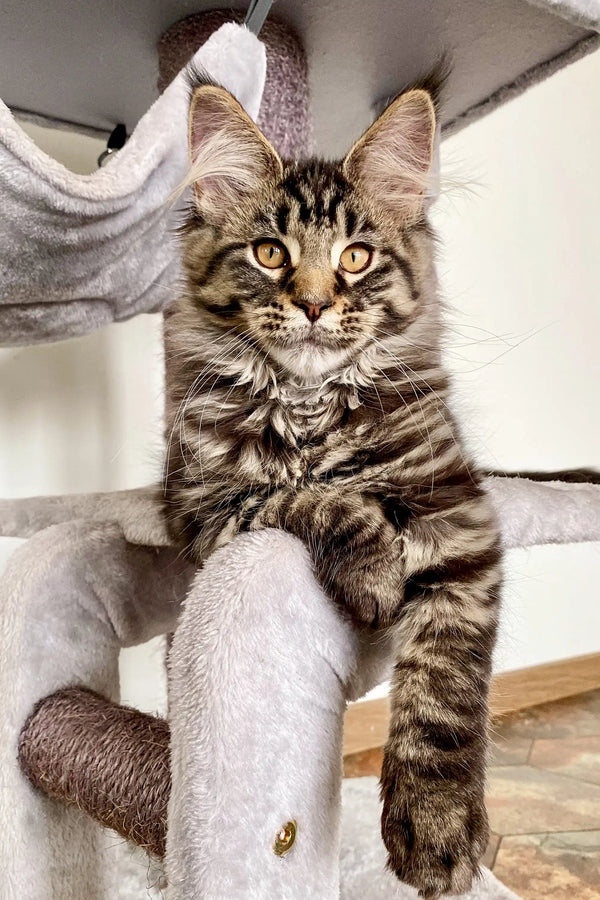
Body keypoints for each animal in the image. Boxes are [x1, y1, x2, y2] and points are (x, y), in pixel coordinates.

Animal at [164, 72, 502, 900]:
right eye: (269, 252)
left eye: (355, 257)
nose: (315, 303)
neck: (310, 402)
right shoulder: (203, 506)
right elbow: (308, 498)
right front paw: (375, 574)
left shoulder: (457, 515)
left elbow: (443, 688)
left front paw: (438, 827)